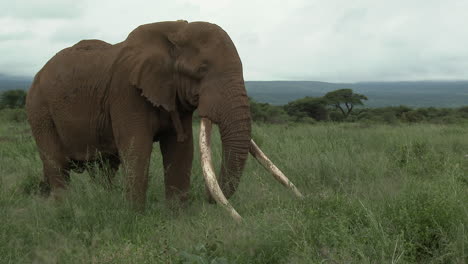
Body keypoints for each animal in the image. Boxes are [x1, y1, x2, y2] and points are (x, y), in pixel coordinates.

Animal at [26, 19, 304, 220]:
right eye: (201, 70)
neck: (174, 32)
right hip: (39, 109)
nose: (208, 200)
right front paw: (135, 219)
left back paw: (101, 201)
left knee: (104, 167)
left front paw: (177, 219)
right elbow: (136, 149)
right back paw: (63, 208)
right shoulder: (125, 91)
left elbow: (181, 150)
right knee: (56, 163)